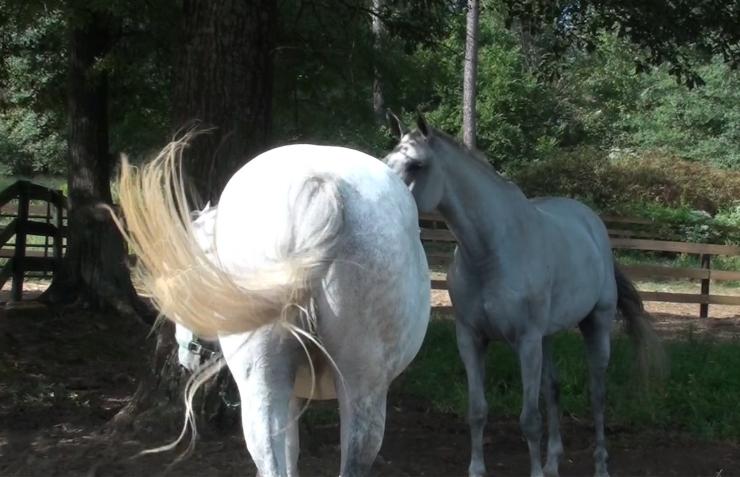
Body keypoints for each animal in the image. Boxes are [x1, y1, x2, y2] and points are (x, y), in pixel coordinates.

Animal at [384, 114, 660, 476]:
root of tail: (592, 223)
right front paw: (478, 470)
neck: (491, 252)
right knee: (553, 390)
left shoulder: (526, 340)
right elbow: (477, 411)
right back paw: (554, 462)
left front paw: (536, 471)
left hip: (595, 325)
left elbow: (529, 419)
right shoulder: (471, 339)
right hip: (547, 338)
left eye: (416, 165)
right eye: (387, 159)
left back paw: (600, 466)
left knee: (597, 395)